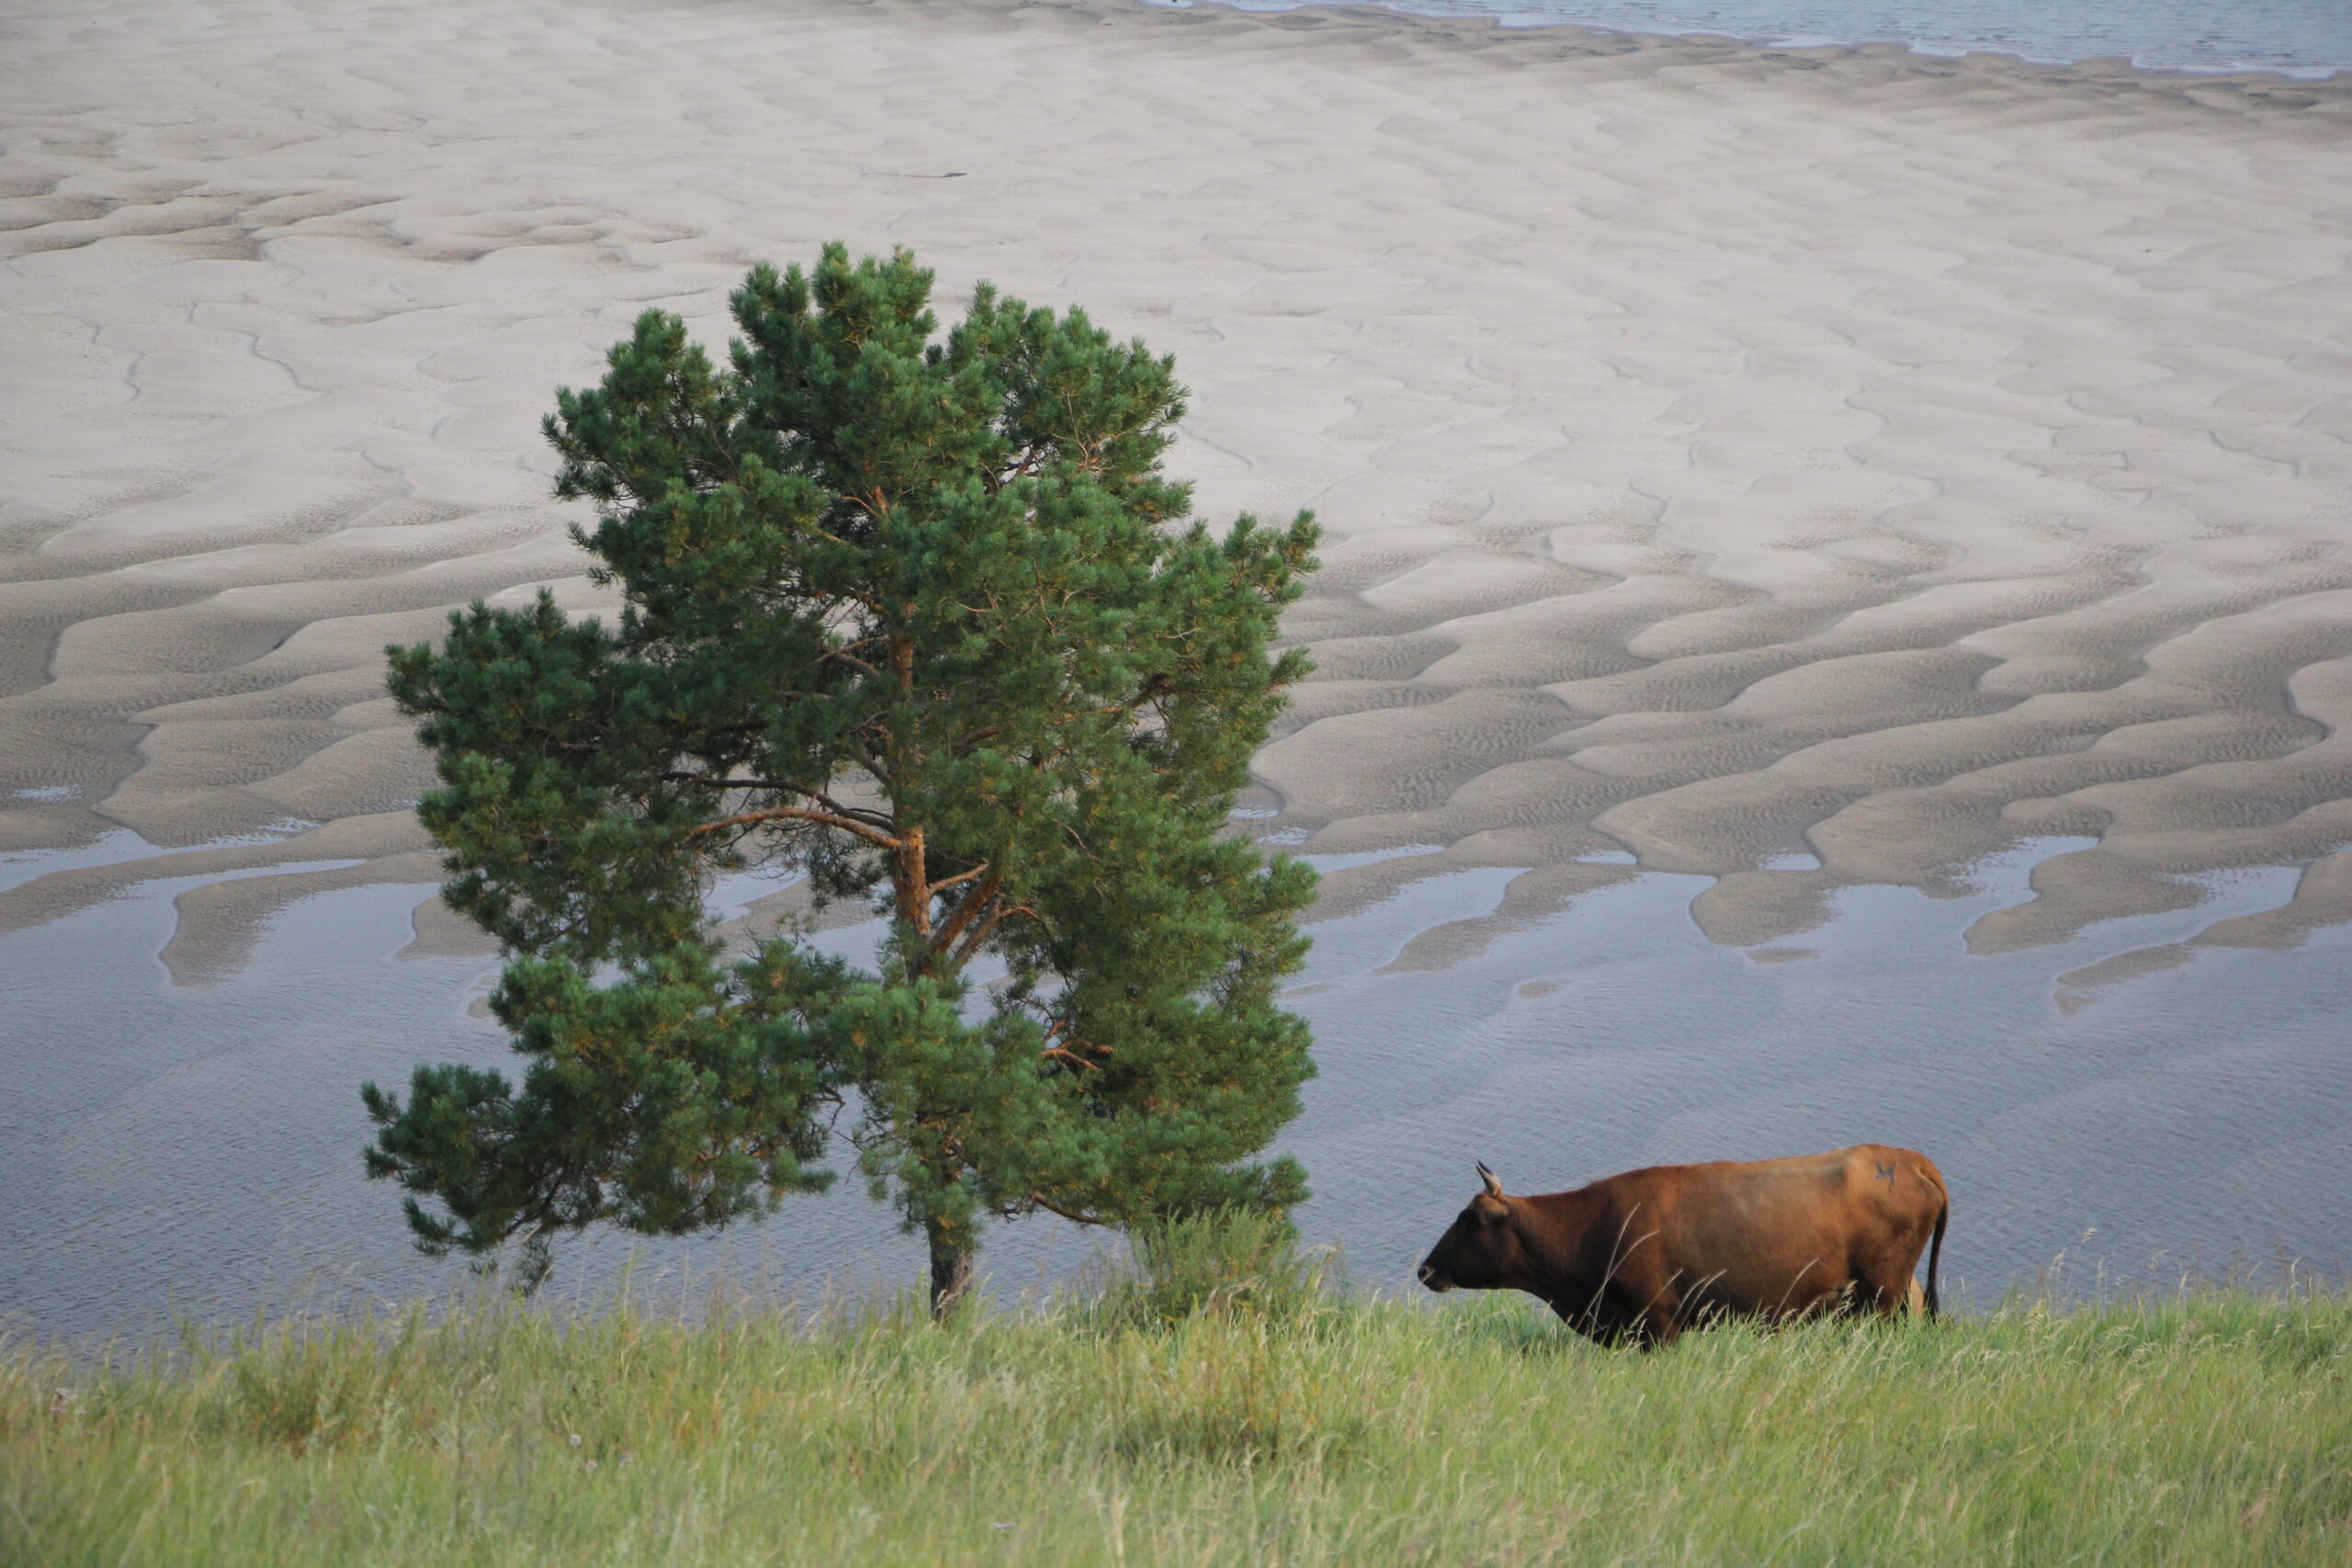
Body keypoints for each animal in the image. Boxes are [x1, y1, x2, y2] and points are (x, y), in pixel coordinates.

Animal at [1411, 1142, 1947, 1354]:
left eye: (1468, 1220)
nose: (1425, 1269)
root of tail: (1908, 1159)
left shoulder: (1660, 1323)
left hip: (1884, 1294)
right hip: (1896, 1293)